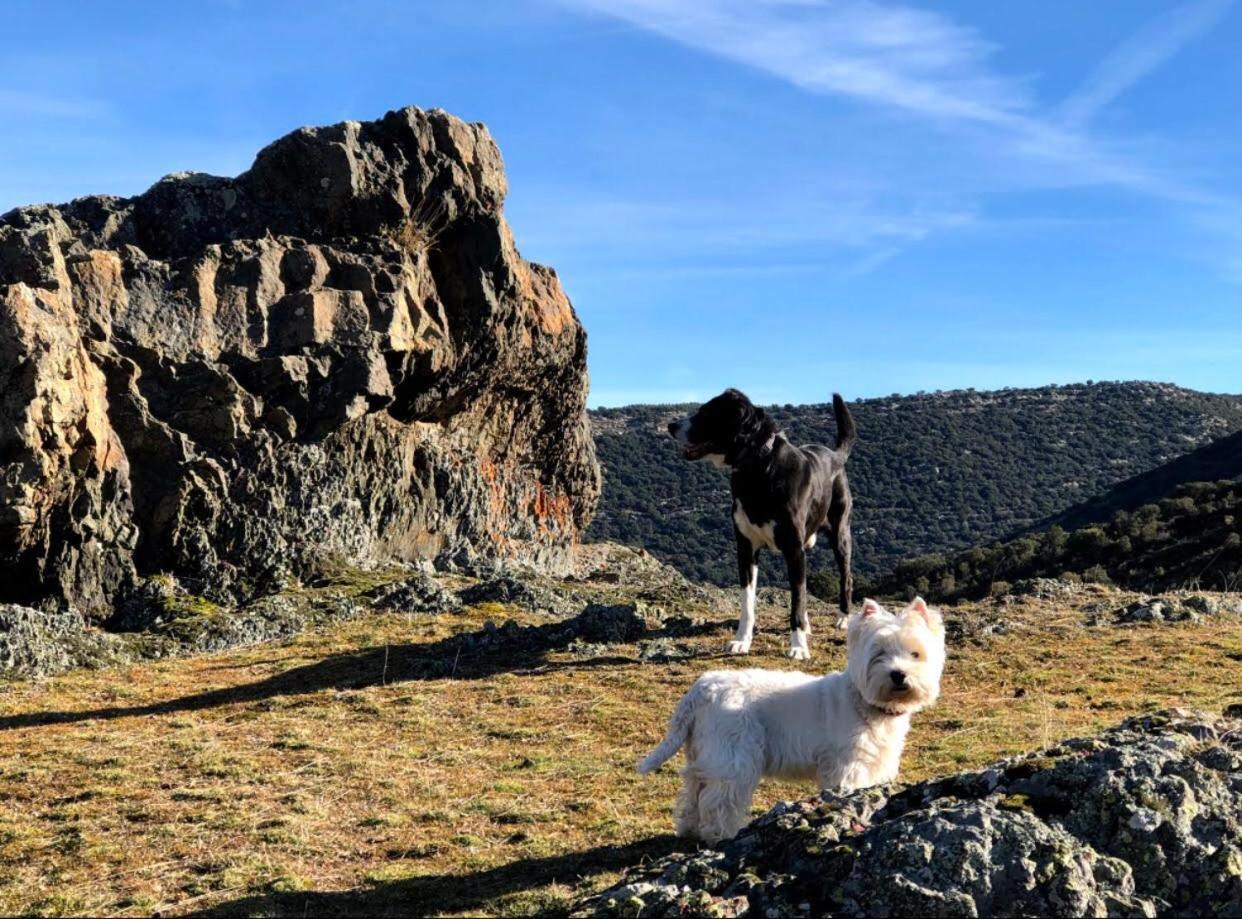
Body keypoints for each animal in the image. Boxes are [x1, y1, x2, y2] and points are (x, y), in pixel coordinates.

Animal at [640, 598, 938, 844]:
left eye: (915, 654)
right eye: (878, 653)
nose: (898, 674)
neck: (864, 702)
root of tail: (703, 688)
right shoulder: (848, 766)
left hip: (703, 753)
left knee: (692, 791)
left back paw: (689, 830)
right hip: (733, 755)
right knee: (718, 799)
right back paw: (722, 835)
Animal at [670, 387, 854, 660]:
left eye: (706, 413)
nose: (671, 425)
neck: (758, 467)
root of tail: (834, 455)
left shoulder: (794, 550)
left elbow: (797, 599)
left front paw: (798, 646)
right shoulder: (746, 549)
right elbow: (748, 602)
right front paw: (741, 641)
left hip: (840, 533)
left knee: (845, 577)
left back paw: (843, 617)